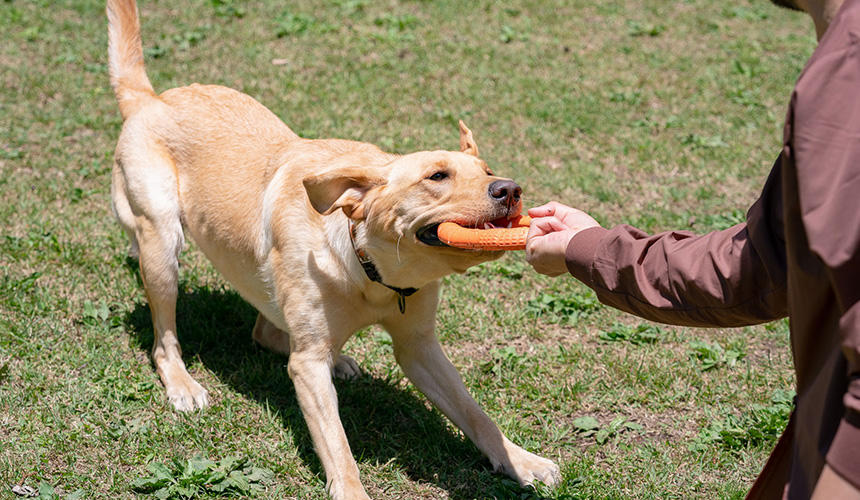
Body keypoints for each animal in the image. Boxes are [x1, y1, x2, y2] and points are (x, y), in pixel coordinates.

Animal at [107, 0, 560, 496]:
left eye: (487, 170)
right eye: (437, 176)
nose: (510, 190)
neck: (370, 269)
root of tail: (149, 98)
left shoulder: (419, 346)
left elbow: (476, 414)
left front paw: (522, 462)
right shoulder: (308, 368)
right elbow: (338, 445)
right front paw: (352, 489)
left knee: (265, 331)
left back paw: (337, 357)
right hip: (161, 242)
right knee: (165, 339)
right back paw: (182, 383)